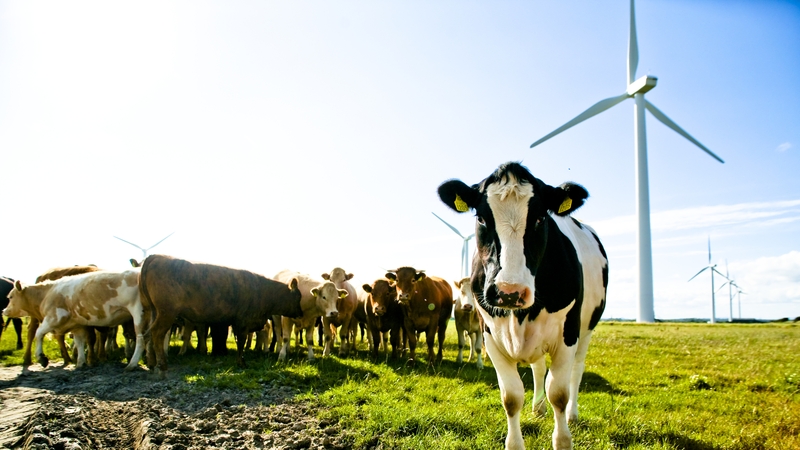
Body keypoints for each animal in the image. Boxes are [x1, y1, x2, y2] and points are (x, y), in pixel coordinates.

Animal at [3, 269, 147, 371]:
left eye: (10, 297)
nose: (3, 311)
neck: (47, 293)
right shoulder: (76, 325)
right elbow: (79, 341)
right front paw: (80, 363)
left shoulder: (54, 317)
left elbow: (39, 333)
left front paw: (41, 358)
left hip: (139, 314)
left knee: (141, 339)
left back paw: (132, 364)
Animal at [138, 254, 303, 373]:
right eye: (298, 296)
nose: (301, 313)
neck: (262, 290)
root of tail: (156, 257)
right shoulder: (243, 322)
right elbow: (241, 342)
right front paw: (241, 362)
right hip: (166, 313)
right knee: (156, 333)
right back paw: (162, 365)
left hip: (154, 311)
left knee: (147, 334)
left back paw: (151, 363)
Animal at [437, 162, 608, 450]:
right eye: (481, 218)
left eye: (540, 218)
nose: (508, 292)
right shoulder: (490, 335)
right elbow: (511, 396)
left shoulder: (567, 334)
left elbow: (558, 393)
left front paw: (563, 439)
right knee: (538, 368)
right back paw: (538, 408)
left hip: (586, 330)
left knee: (576, 371)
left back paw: (572, 414)